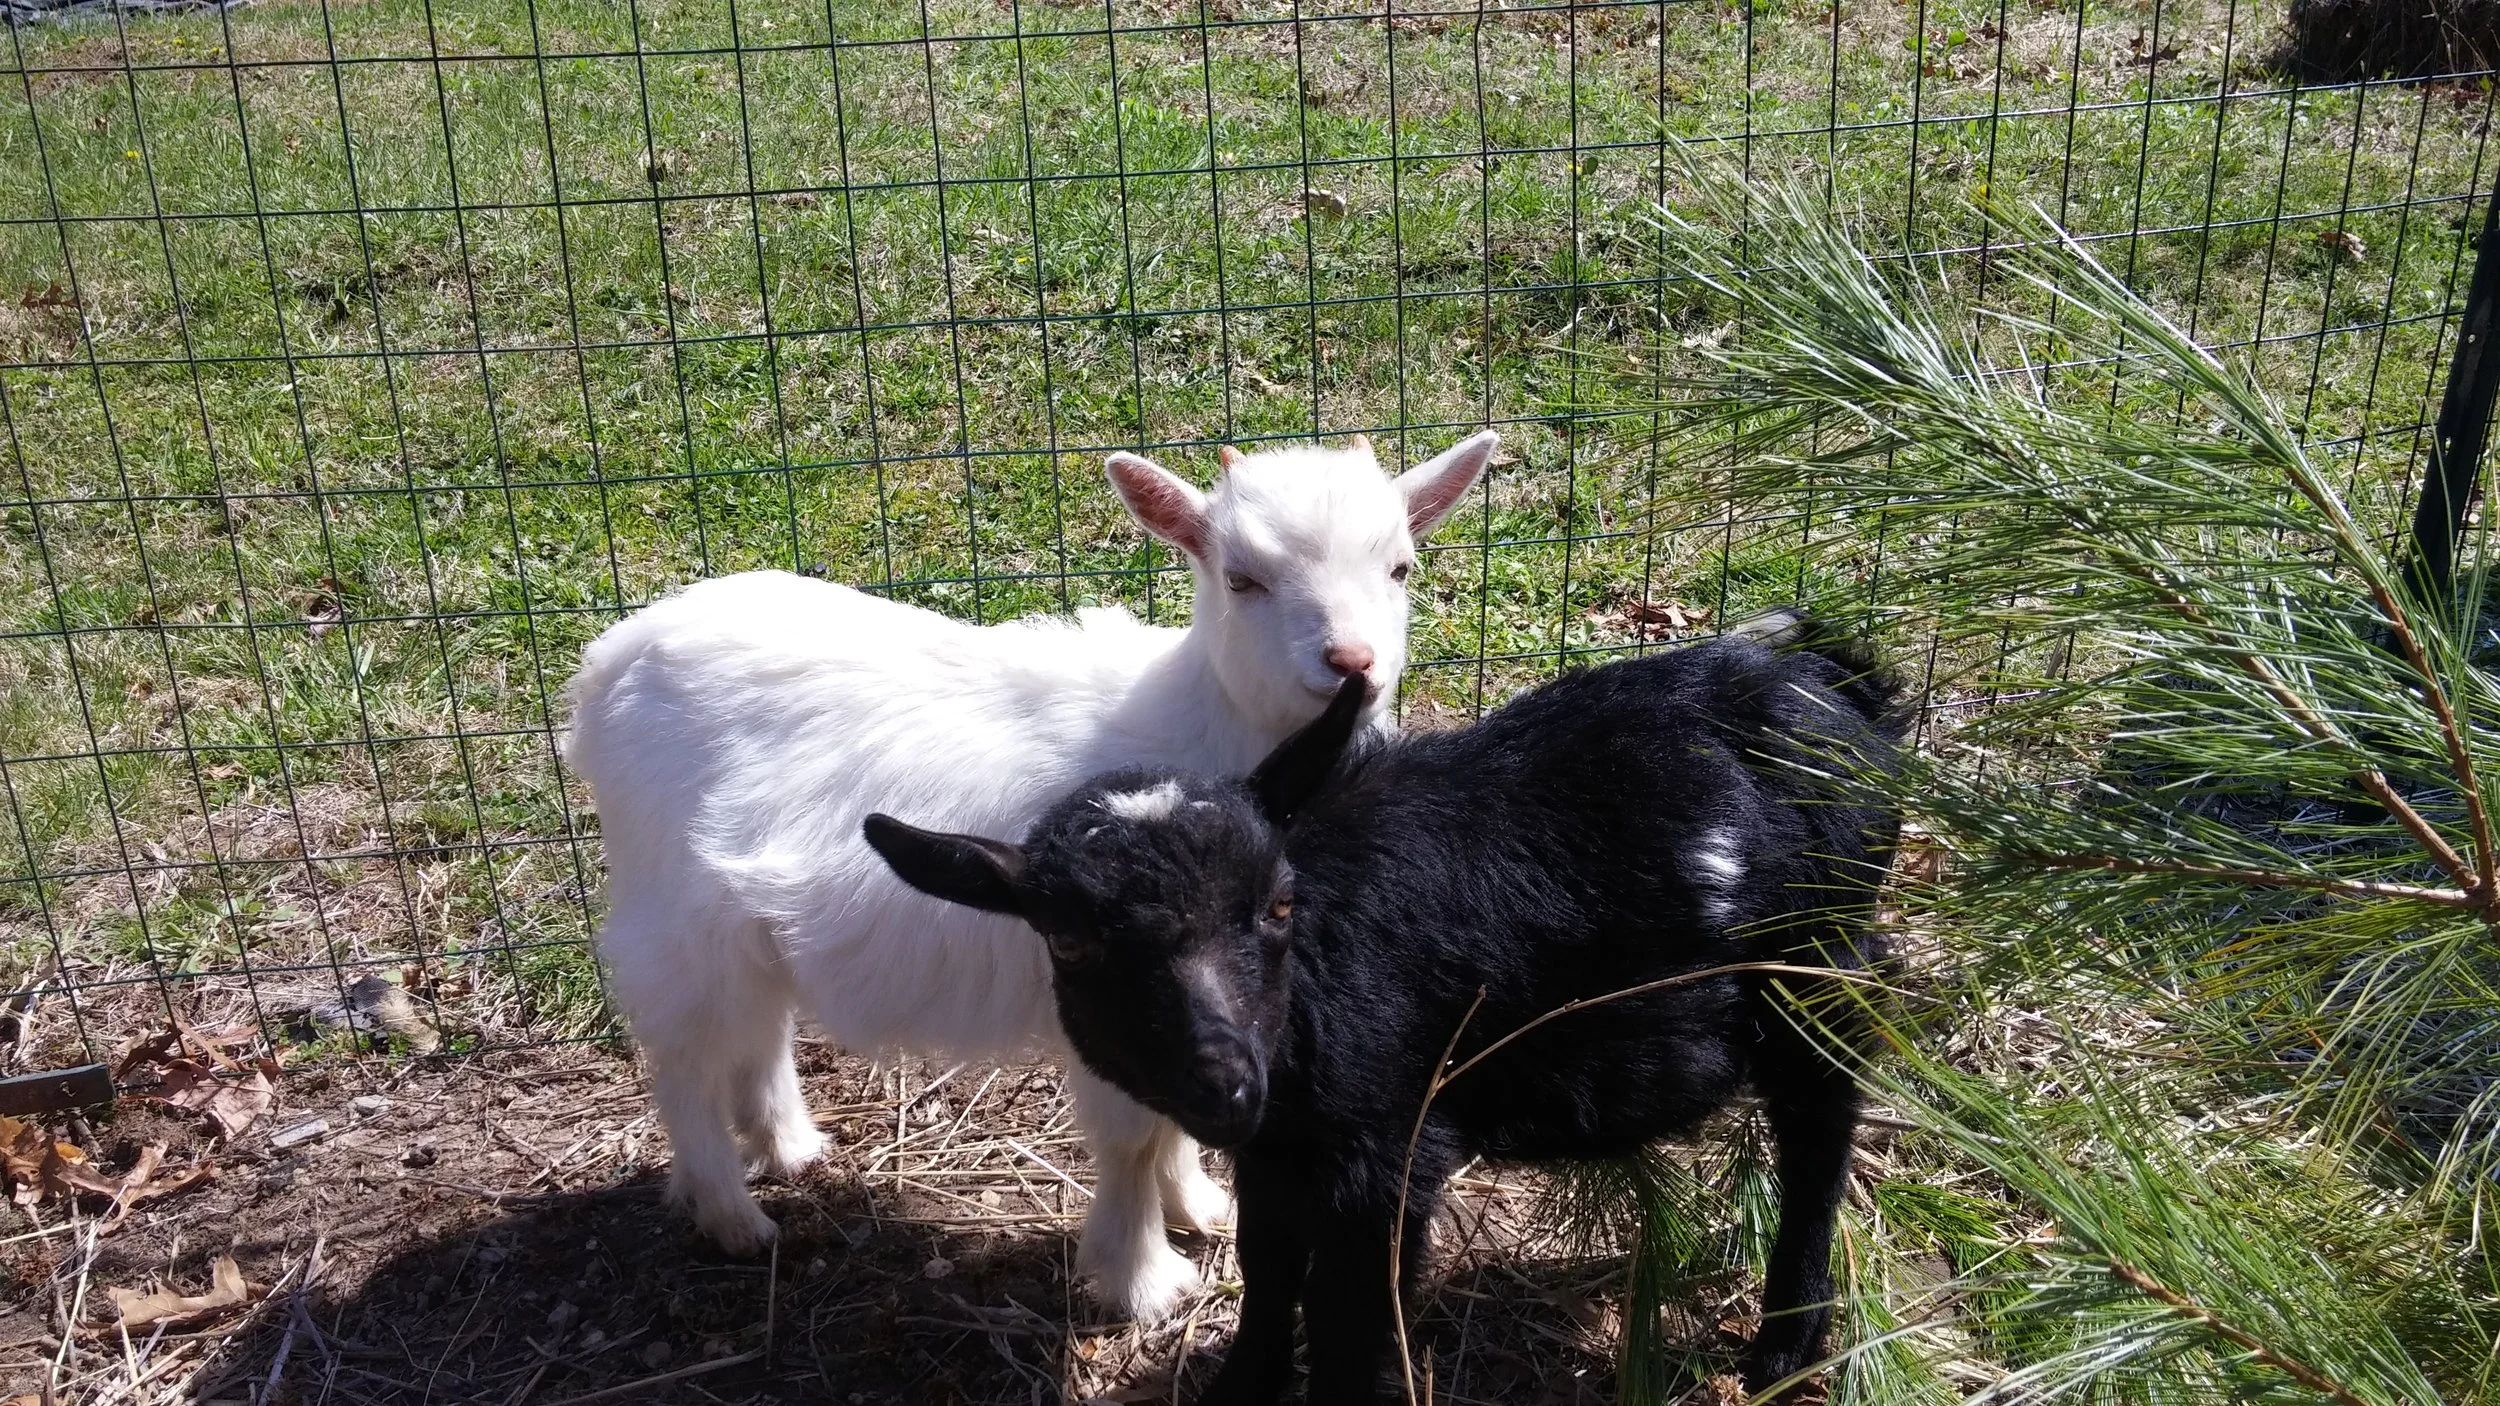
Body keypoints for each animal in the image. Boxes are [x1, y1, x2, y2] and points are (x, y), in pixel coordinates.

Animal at [562, 431, 1499, 1319]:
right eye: (1242, 580)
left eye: (1400, 566)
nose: (1352, 664)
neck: (1192, 721)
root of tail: (609, 658)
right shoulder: (1106, 988)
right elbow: (1132, 1138)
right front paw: (1140, 1280)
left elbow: (1173, 1119)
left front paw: (1198, 1206)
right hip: (671, 912)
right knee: (684, 1057)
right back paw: (730, 1214)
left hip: (743, 921)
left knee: (757, 1026)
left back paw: (787, 1148)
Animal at [864, 619, 1904, 1398]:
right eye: (1072, 943)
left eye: (1278, 904)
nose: (1224, 1083)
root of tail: (1834, 684)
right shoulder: (1281, 1150)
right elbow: (1269, 1267)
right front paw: (1242, 1387)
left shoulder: (1388, 1149)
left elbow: (1353, 1317)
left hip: (1819, 959)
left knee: (1823, 1118)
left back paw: (1787, 1342)